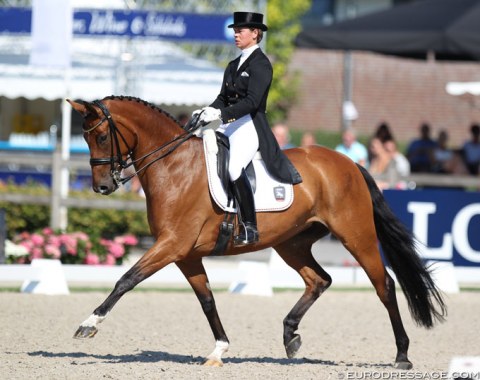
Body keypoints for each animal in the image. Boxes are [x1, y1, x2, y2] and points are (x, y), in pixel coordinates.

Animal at [67, 96, 446, 370]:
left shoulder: (172, 244)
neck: (174, 168)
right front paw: (219, 350)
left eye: (101, 136)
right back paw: (290, 336)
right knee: (319, 280)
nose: (102, 187)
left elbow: (126, 279)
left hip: (357, 236)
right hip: (292, 243)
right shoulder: (186, 254)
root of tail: (349, 162)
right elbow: (207, 300)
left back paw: (402, 355)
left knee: (384, 286)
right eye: (85, 137)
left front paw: (89, 324)